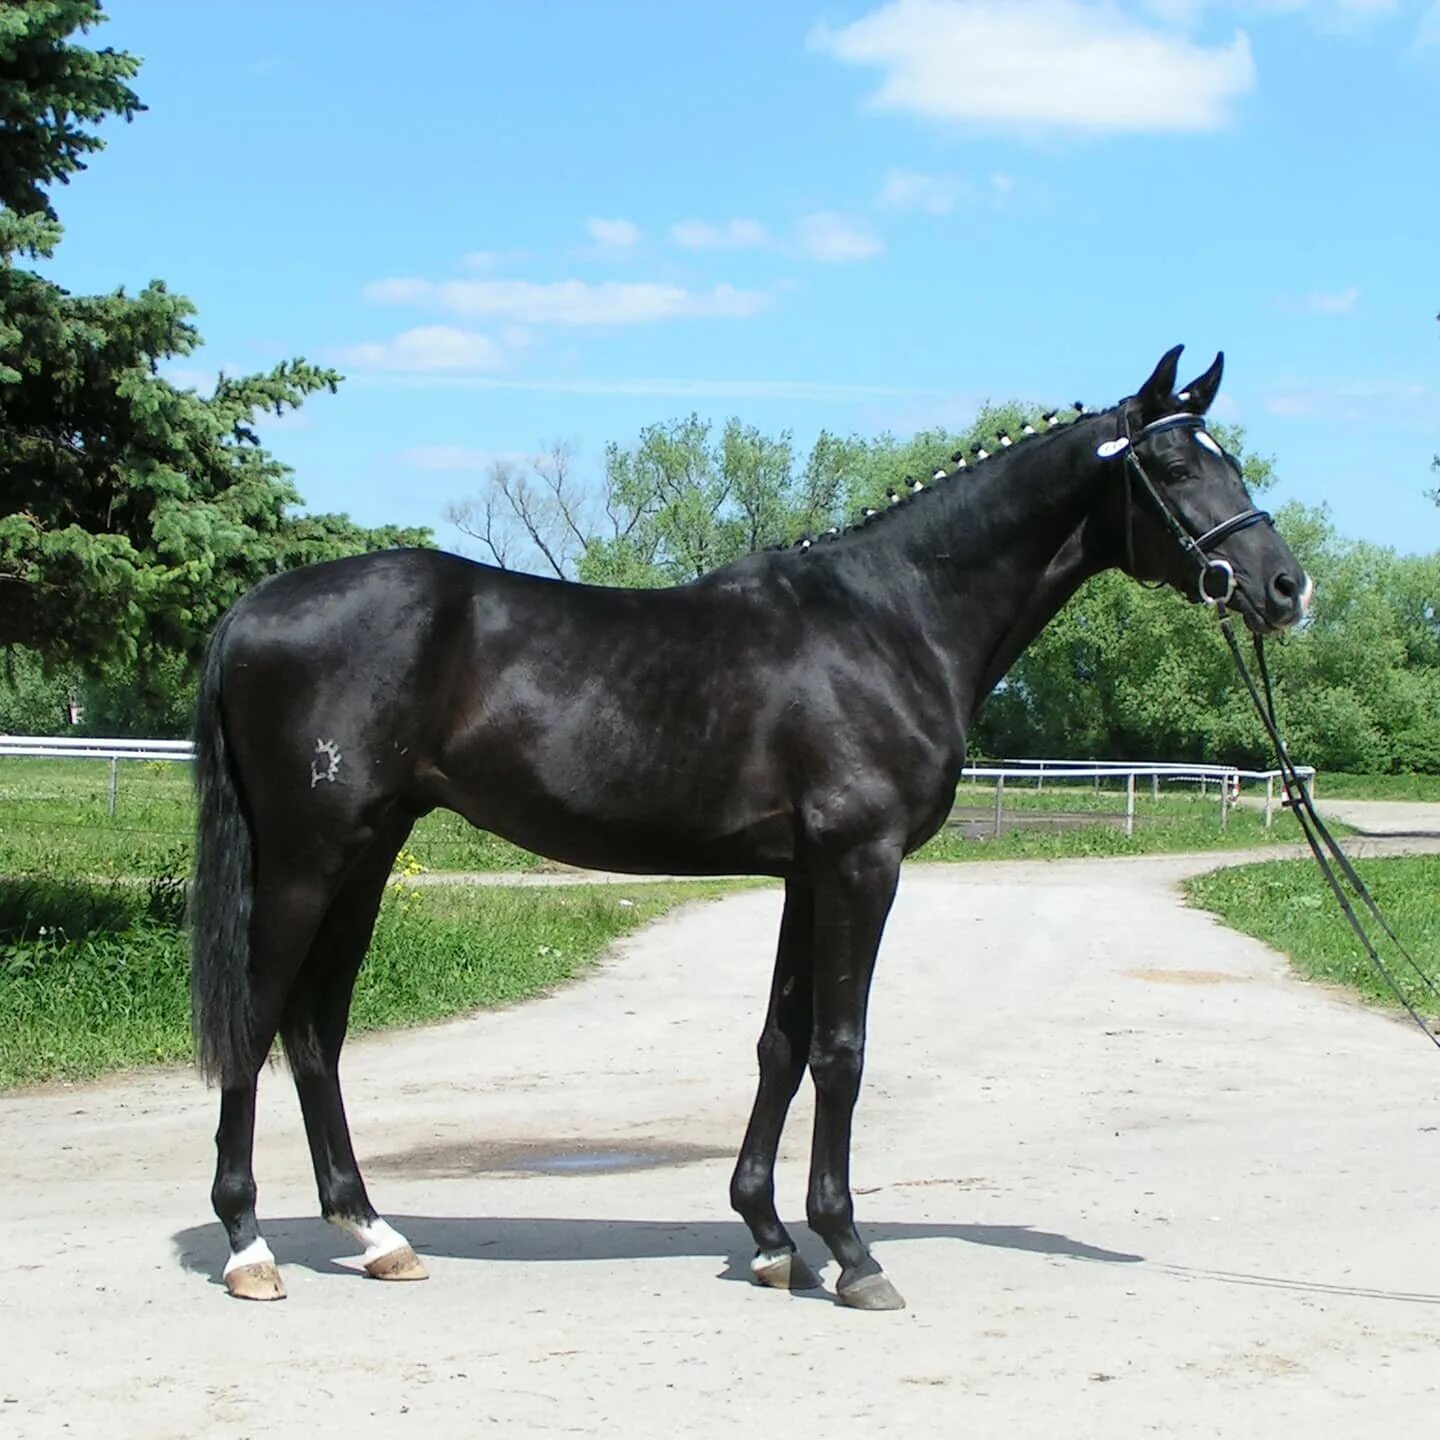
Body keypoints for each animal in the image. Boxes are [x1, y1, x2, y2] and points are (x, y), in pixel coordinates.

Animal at [188, 345, 1307, 1307]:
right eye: (1173, 463)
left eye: (1230, 457)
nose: (1283, 587)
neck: (891, 620)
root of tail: (250, 607)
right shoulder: (861, 865)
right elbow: (842, 1049)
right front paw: (851, 1253)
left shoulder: (807, 873)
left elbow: (782, 1042)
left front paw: (771, 1239)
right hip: (308, 857)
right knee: (258, 1020)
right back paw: (250, 1248)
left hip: (369, 853)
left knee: (317, 1029)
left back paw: (375, 1234)